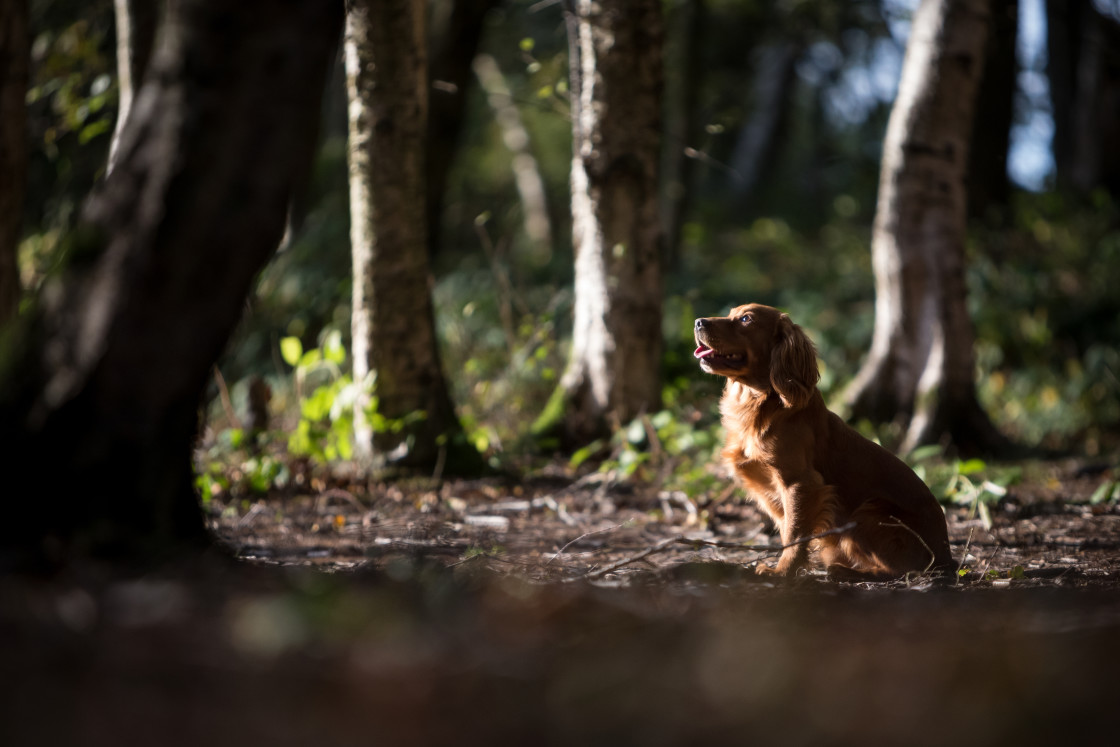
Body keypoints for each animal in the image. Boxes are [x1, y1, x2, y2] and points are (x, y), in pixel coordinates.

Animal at [689, 304, 954, 577]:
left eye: (745, 319)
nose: (698, 322)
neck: (761, 403)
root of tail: (946, 556)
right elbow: (787, 530)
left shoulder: (800, 483)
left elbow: (794, 534)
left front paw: (782, 572)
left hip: (869, 511)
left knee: (901, 572)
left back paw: (847, 571)